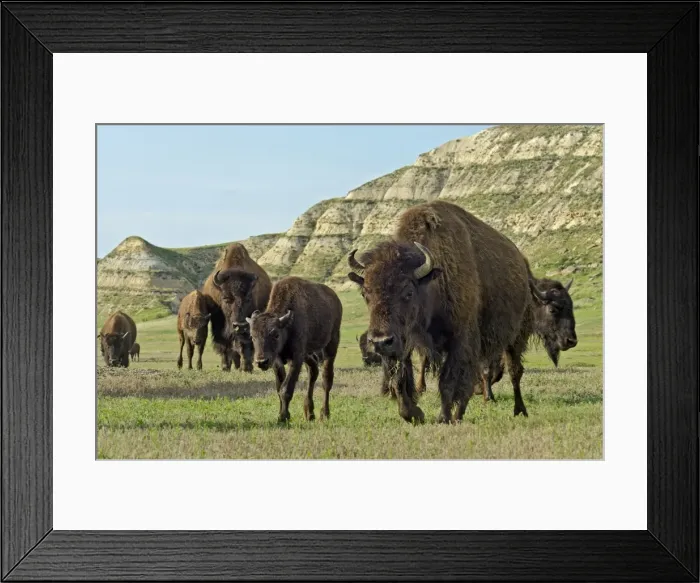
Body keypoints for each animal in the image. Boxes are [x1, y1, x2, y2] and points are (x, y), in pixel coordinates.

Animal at [201, 243, 272, 372]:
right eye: (226, 298)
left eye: (248, 298)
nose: (240, 325)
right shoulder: (218, 323)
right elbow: (223, 343)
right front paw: (225, 367)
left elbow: (245, 345)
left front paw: (246, 368)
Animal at [246, 276, 343, 424]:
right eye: (252, 335)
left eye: (275, 334)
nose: (261, 362)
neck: (287, 325)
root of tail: (335, 299)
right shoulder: (277, 361)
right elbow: (279, 387)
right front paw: (281, 415)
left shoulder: (296, 359)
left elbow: (286, 389)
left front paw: (283, 417)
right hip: (308, 354)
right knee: (313, 372)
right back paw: (309, 413)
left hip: (331, 344)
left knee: (326, 379)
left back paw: (324, 414)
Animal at [347, 200, 534, 424]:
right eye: (365, 293)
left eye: (408, 292)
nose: (380, 341)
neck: (432, 282)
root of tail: (523, 264)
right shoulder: (405, 342)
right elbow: (400, 379)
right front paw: (413, 414)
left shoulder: (459, 340)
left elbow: (448, 382)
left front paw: (442, 418)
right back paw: (460, 415)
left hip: (516, 336)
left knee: (514, 372)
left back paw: (519, 410)